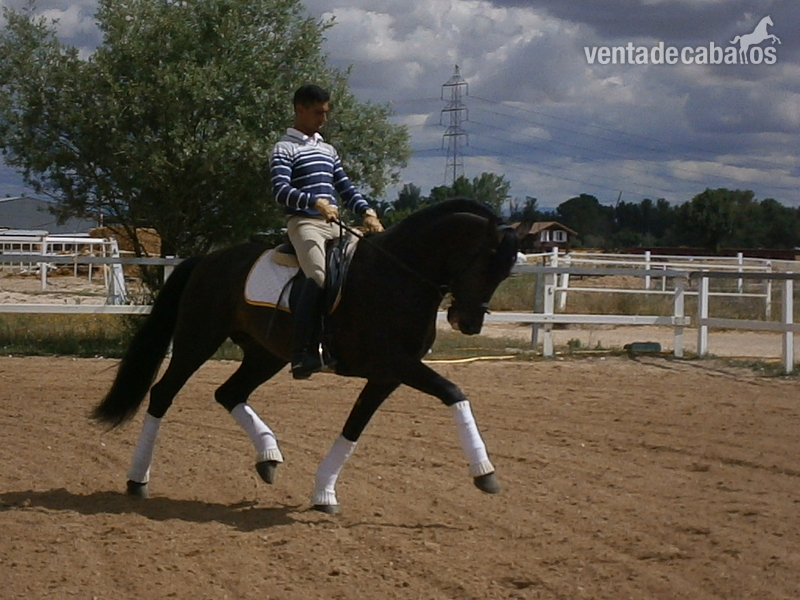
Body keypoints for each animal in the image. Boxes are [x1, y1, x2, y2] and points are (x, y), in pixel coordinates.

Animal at [92, 198, 519, 513]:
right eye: (487, 262)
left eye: (506, 272)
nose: (468, 323)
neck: (398, 275)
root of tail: (207, 260)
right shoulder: (394, 363)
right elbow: (453, 391)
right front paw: (485, 473)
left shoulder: (387, 375)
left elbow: (354, 428)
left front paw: (323, 493)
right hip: (198, 341)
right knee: (163, 394)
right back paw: (137, 480)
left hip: (266, 355)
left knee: (229, 394)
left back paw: (268, 457)